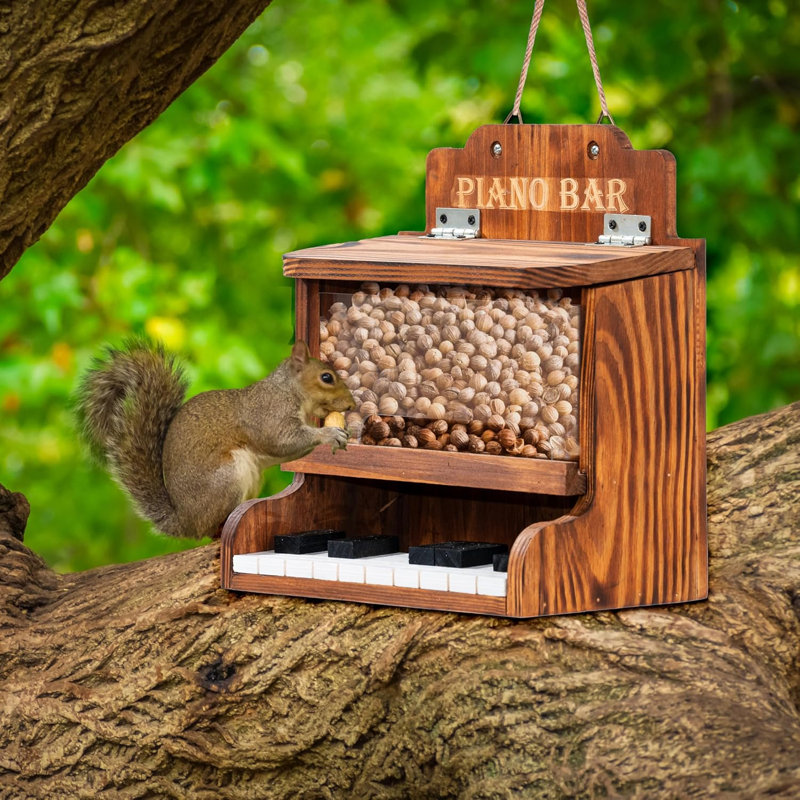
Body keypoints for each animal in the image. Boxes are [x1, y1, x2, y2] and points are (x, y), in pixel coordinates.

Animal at [76, 339, 355, 539]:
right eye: (326, 377)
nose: (351, 404)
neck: (290, 390)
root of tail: (183, 521)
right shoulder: (269, 415)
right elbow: (281, 440)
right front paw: (329, 434)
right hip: (227, 478)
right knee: (208, 531)